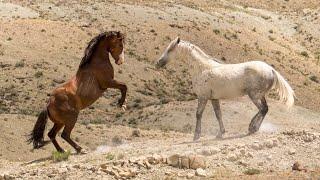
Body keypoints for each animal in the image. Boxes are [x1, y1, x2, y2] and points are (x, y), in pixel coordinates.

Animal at [156, 37, 296, 141]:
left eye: (170, 49)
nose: (158, 63)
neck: (202, 69)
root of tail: (271, 69)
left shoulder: (203, 97)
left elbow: (198, 114)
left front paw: (196, 136)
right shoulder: (214, 98)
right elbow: (218, 115)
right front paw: (220, 134)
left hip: (254, 95)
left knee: (262, 109)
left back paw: (252, 128)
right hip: (260, 95)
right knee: (265, 109)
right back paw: (253, 128)